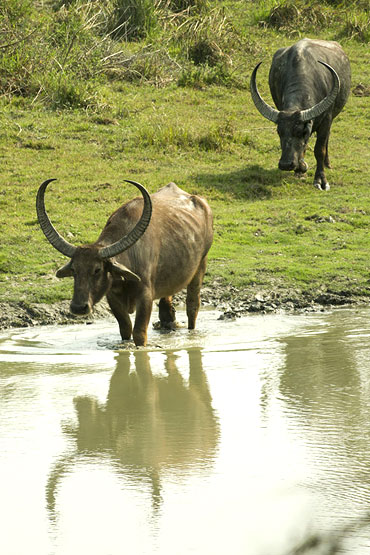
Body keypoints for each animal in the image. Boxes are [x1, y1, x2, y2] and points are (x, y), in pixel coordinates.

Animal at [36, 178, 214, 346]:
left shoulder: (145, 295)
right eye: (74, 270)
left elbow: (139, 332)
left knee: (192, 306)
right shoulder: (112, 297)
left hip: (201, 265)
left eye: (97, 269)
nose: (78, 308)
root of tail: (203, 204)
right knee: (166, 306)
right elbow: (125, 328)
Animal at [250, 38, 352, 191]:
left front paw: (321, 180)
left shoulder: (326, 120)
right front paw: (300, 168)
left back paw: (327, 163)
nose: (286, 164)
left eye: (301, 132)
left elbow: (319, 149)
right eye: (279, 132)